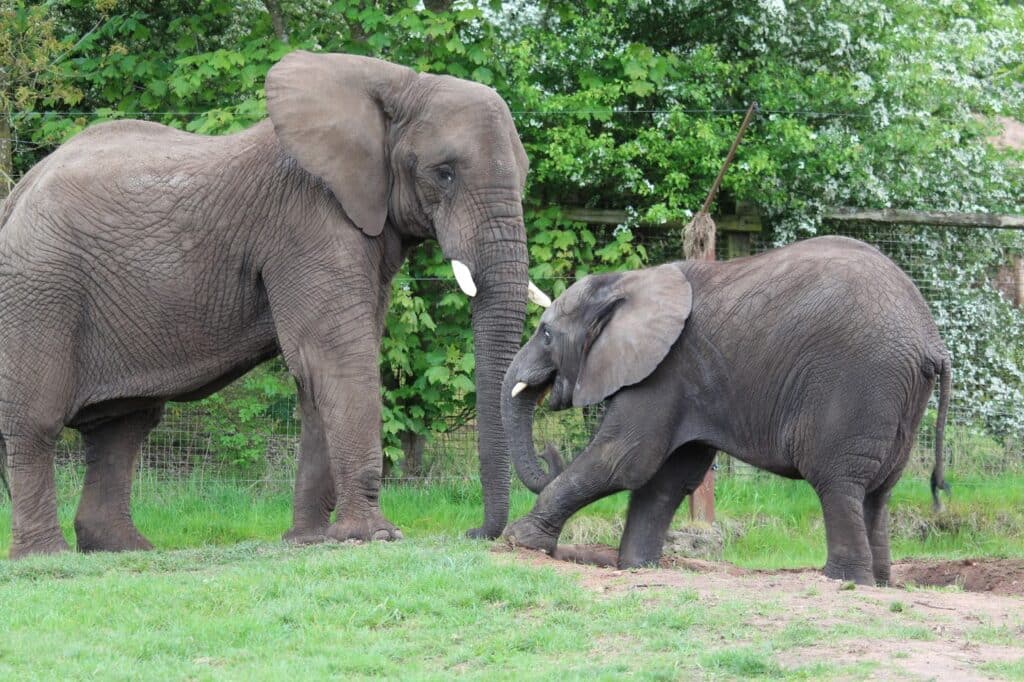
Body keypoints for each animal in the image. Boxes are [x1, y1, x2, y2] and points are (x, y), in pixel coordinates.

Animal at [0, 50, 549, 559]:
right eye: (445, 173)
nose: (474, 532)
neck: (397, 83)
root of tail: (18, 192)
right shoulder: (306, 222)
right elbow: (336, 359)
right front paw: (375, 537)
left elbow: (318, 374)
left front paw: (309, 541)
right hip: (38, 288)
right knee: (37, 423)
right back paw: (47, 557)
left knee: (123, 426)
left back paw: (124, 549)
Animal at [501, 236, 951, 585]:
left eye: (545, 334)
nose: (548, 451)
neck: (629, 281)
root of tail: (931, 342)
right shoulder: (690, 380)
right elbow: (669, 478)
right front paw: (635, 567)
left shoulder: (664, 369)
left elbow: (623, 460)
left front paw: (518, 540)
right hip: (900, 398)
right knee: (878, 492)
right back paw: (879, 581)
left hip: (858, 380)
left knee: (838, 482)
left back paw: (845, 581)